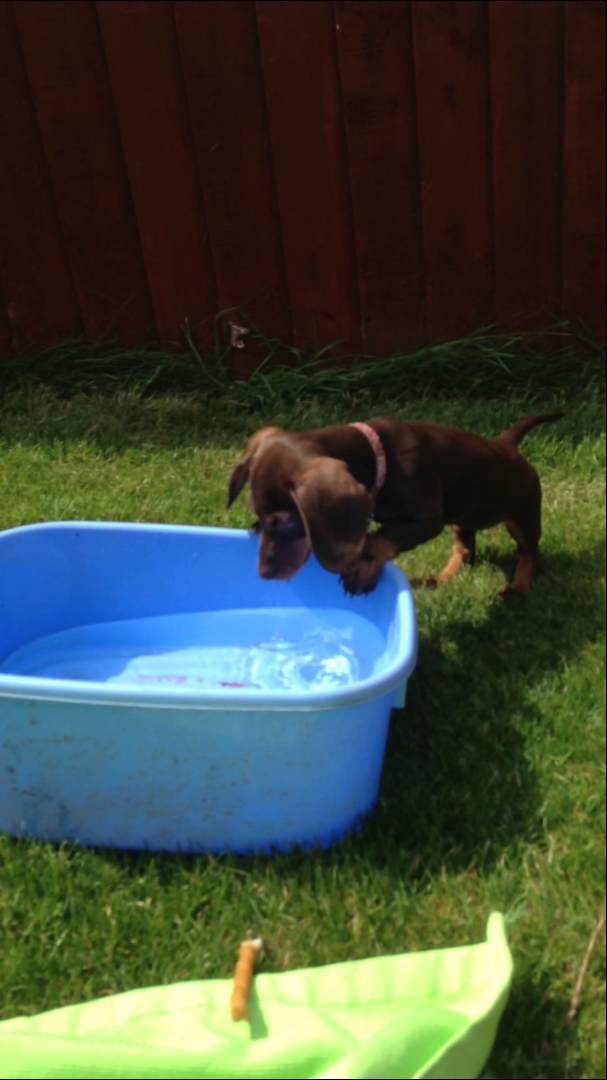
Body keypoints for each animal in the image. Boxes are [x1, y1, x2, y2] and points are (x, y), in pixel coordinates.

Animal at [226, 412, 561, 600]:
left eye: (290, 523)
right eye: (258, 514)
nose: (264, 574)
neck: (379, 456)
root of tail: (505, 443)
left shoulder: (428, 518)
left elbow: (380, 538)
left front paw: (360, 571)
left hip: (523, 513)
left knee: (528, 551)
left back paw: (517, 588)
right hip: (463, 518)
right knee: (465, 550)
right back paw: (438, 579)